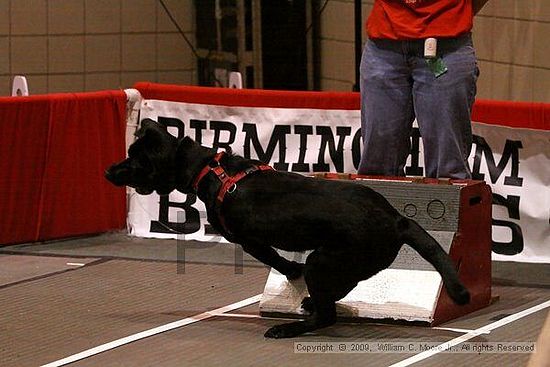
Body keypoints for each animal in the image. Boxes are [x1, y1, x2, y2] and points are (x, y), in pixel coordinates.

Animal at [105, 120, 472, 340]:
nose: (108, 170)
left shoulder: (247, 239)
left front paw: (291, 271)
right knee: (344, 288)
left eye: (133, 160)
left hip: (323, 261)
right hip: (342, 262)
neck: (208, 169)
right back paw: (309, 304)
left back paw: (286, 328)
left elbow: (277, 260)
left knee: (327, 313)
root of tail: (396, 219)